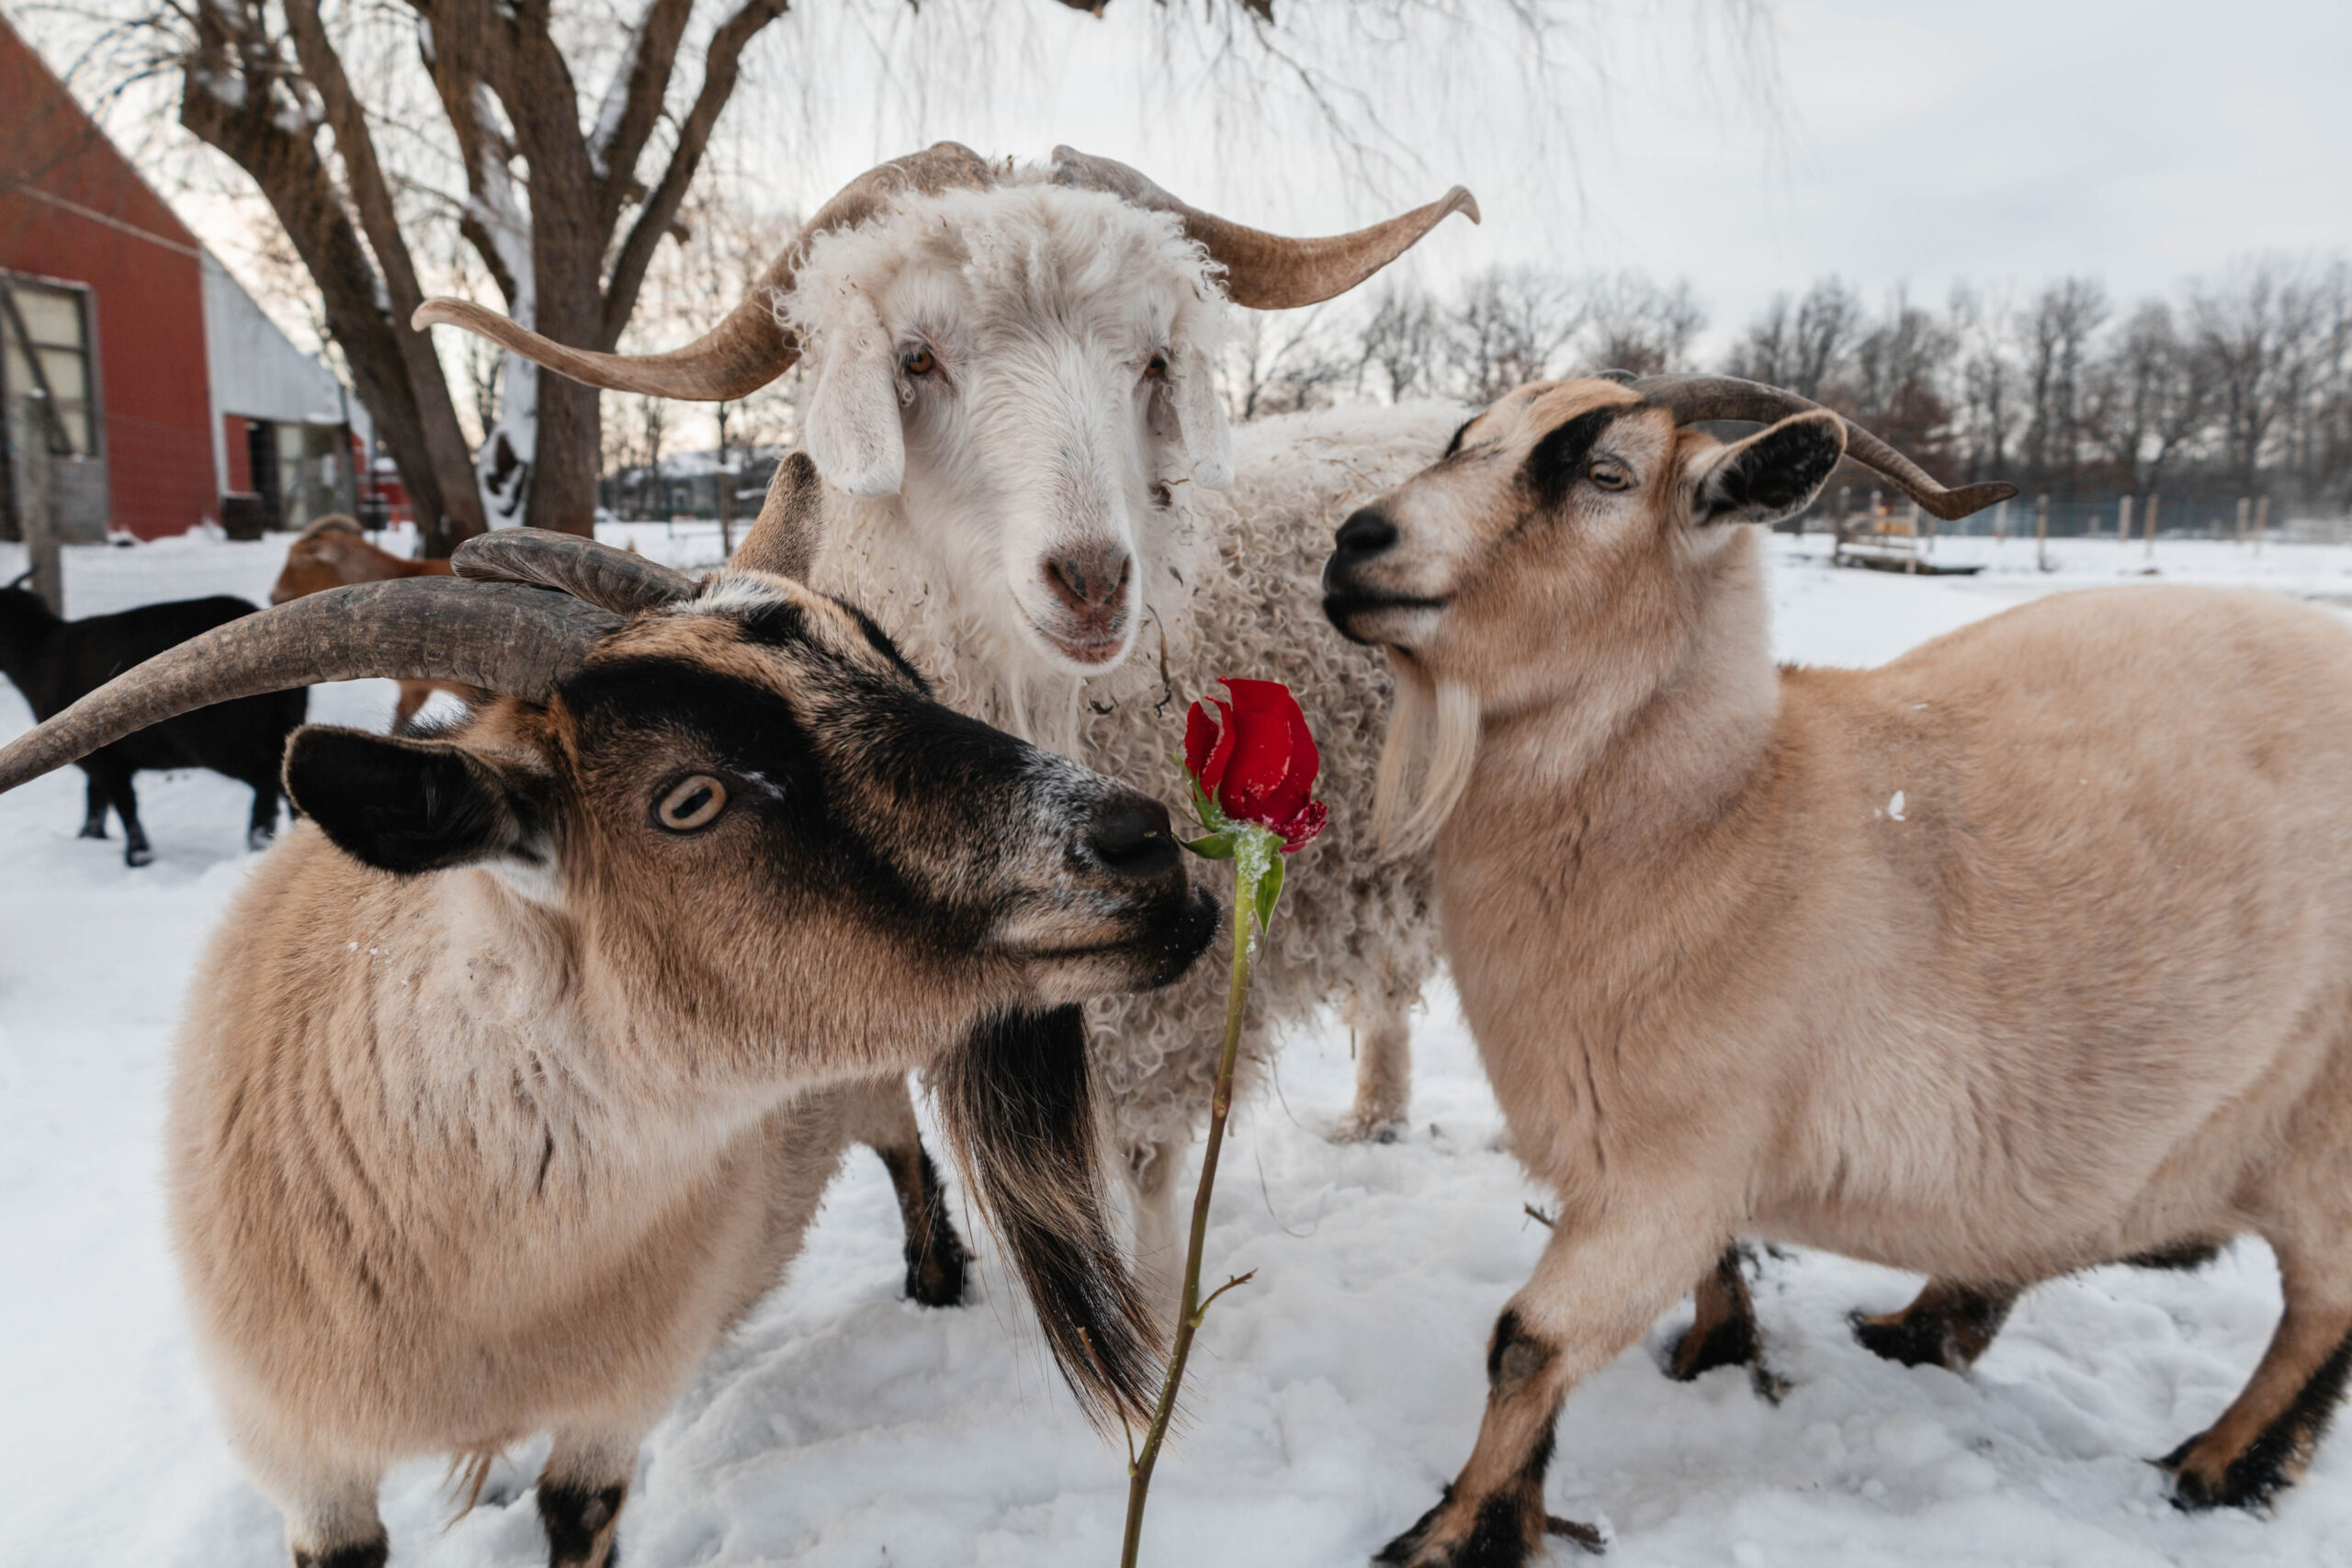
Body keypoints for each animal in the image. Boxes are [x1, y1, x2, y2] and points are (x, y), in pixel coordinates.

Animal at [0, 573, 305, 869]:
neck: (37, 652)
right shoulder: (99, 759)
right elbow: (96, 799)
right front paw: (90, 839)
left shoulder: (106, 761)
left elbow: (124, 804)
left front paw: (137, 857)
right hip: (280, 727)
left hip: (225, 744)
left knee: (267, 781)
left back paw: (259, 844)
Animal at [409, 146, 1467, 1297]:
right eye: (916, 359)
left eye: (1151, 362)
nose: (1092, 580)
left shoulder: (1164, 1006)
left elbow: (1141, 1176)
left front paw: (1149, 1309)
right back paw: (1374, 1116)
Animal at [1326, 373, 2352, 1561]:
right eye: (1470, 437)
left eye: (1606, 475)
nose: (1357, 542)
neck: (1729, 818)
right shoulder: (1681, 1157)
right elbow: (1709, 1270)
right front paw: (1712, 1359)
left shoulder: (1667, 1166)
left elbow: (1527, 1343)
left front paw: (1450, 1535)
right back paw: (1912, 1334)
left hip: (2323, 1140)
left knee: (2323, 1310)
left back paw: (2216, 1470)